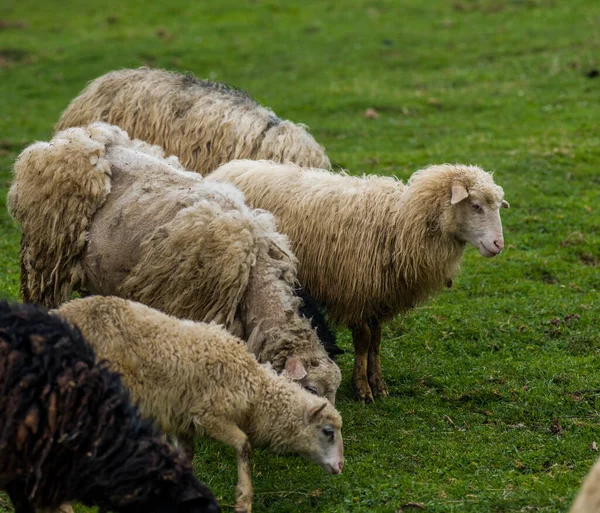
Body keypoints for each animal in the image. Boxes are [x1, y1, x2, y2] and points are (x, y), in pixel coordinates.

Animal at [56, 294, 346, 512]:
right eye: (328, 432)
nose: (341, 466)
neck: (253, 387)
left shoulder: (183, 422)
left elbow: (185, 459)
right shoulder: (208, 416)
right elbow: (244, 445)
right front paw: (244, 500)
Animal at [207, 158, 510, 402]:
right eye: (475, 205)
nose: (499, 245)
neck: (399, 223)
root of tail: (227, 167)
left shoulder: (379, 297)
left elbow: (376, 341)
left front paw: (378, 384)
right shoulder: (355, 294)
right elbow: (363, 341)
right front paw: (362, 388)